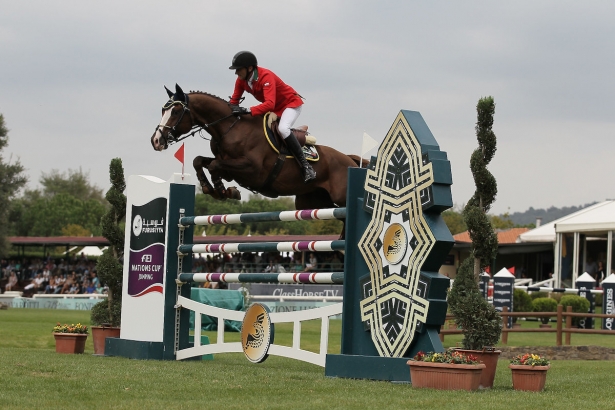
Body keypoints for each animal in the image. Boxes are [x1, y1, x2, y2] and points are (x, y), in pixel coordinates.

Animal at [153, 84, 366, 211]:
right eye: (163, 110)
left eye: (176, 111)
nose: (155, 141)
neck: (230, 128)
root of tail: (350, 159)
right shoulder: (228, 166)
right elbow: (200, 161)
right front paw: (211, 188)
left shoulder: (252, 169)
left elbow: (214, 166)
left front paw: (222, 191)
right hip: (312, 201)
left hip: (341, 197)